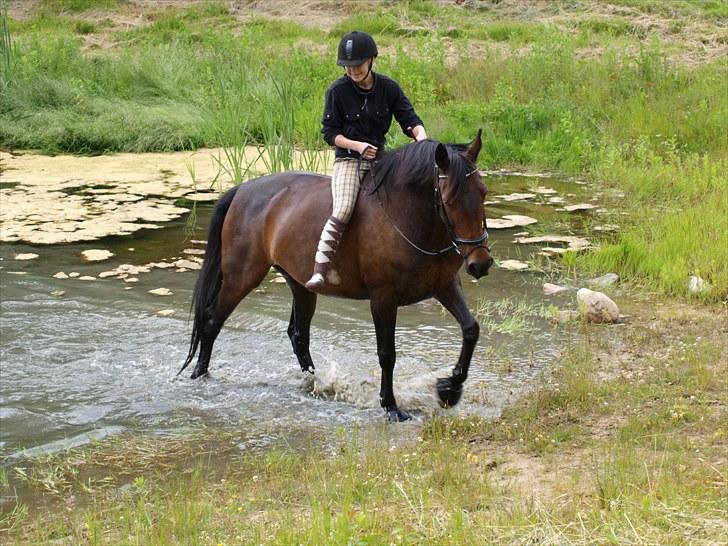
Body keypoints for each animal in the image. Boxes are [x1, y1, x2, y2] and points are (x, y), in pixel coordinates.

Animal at [179, 130, 492, 418]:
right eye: (449, 199)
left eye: (483, 192)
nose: (481, 264)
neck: (410, 218)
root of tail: (241, 190)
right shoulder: (383, 298)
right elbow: (387, 353)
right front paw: (391, 406)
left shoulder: (445, 285)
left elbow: (470, 329)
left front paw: (449, 390)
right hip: (240, 278)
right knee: (212, 321)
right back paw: (200, 376)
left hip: (300, 285)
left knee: (298, 336)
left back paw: (315, 384)